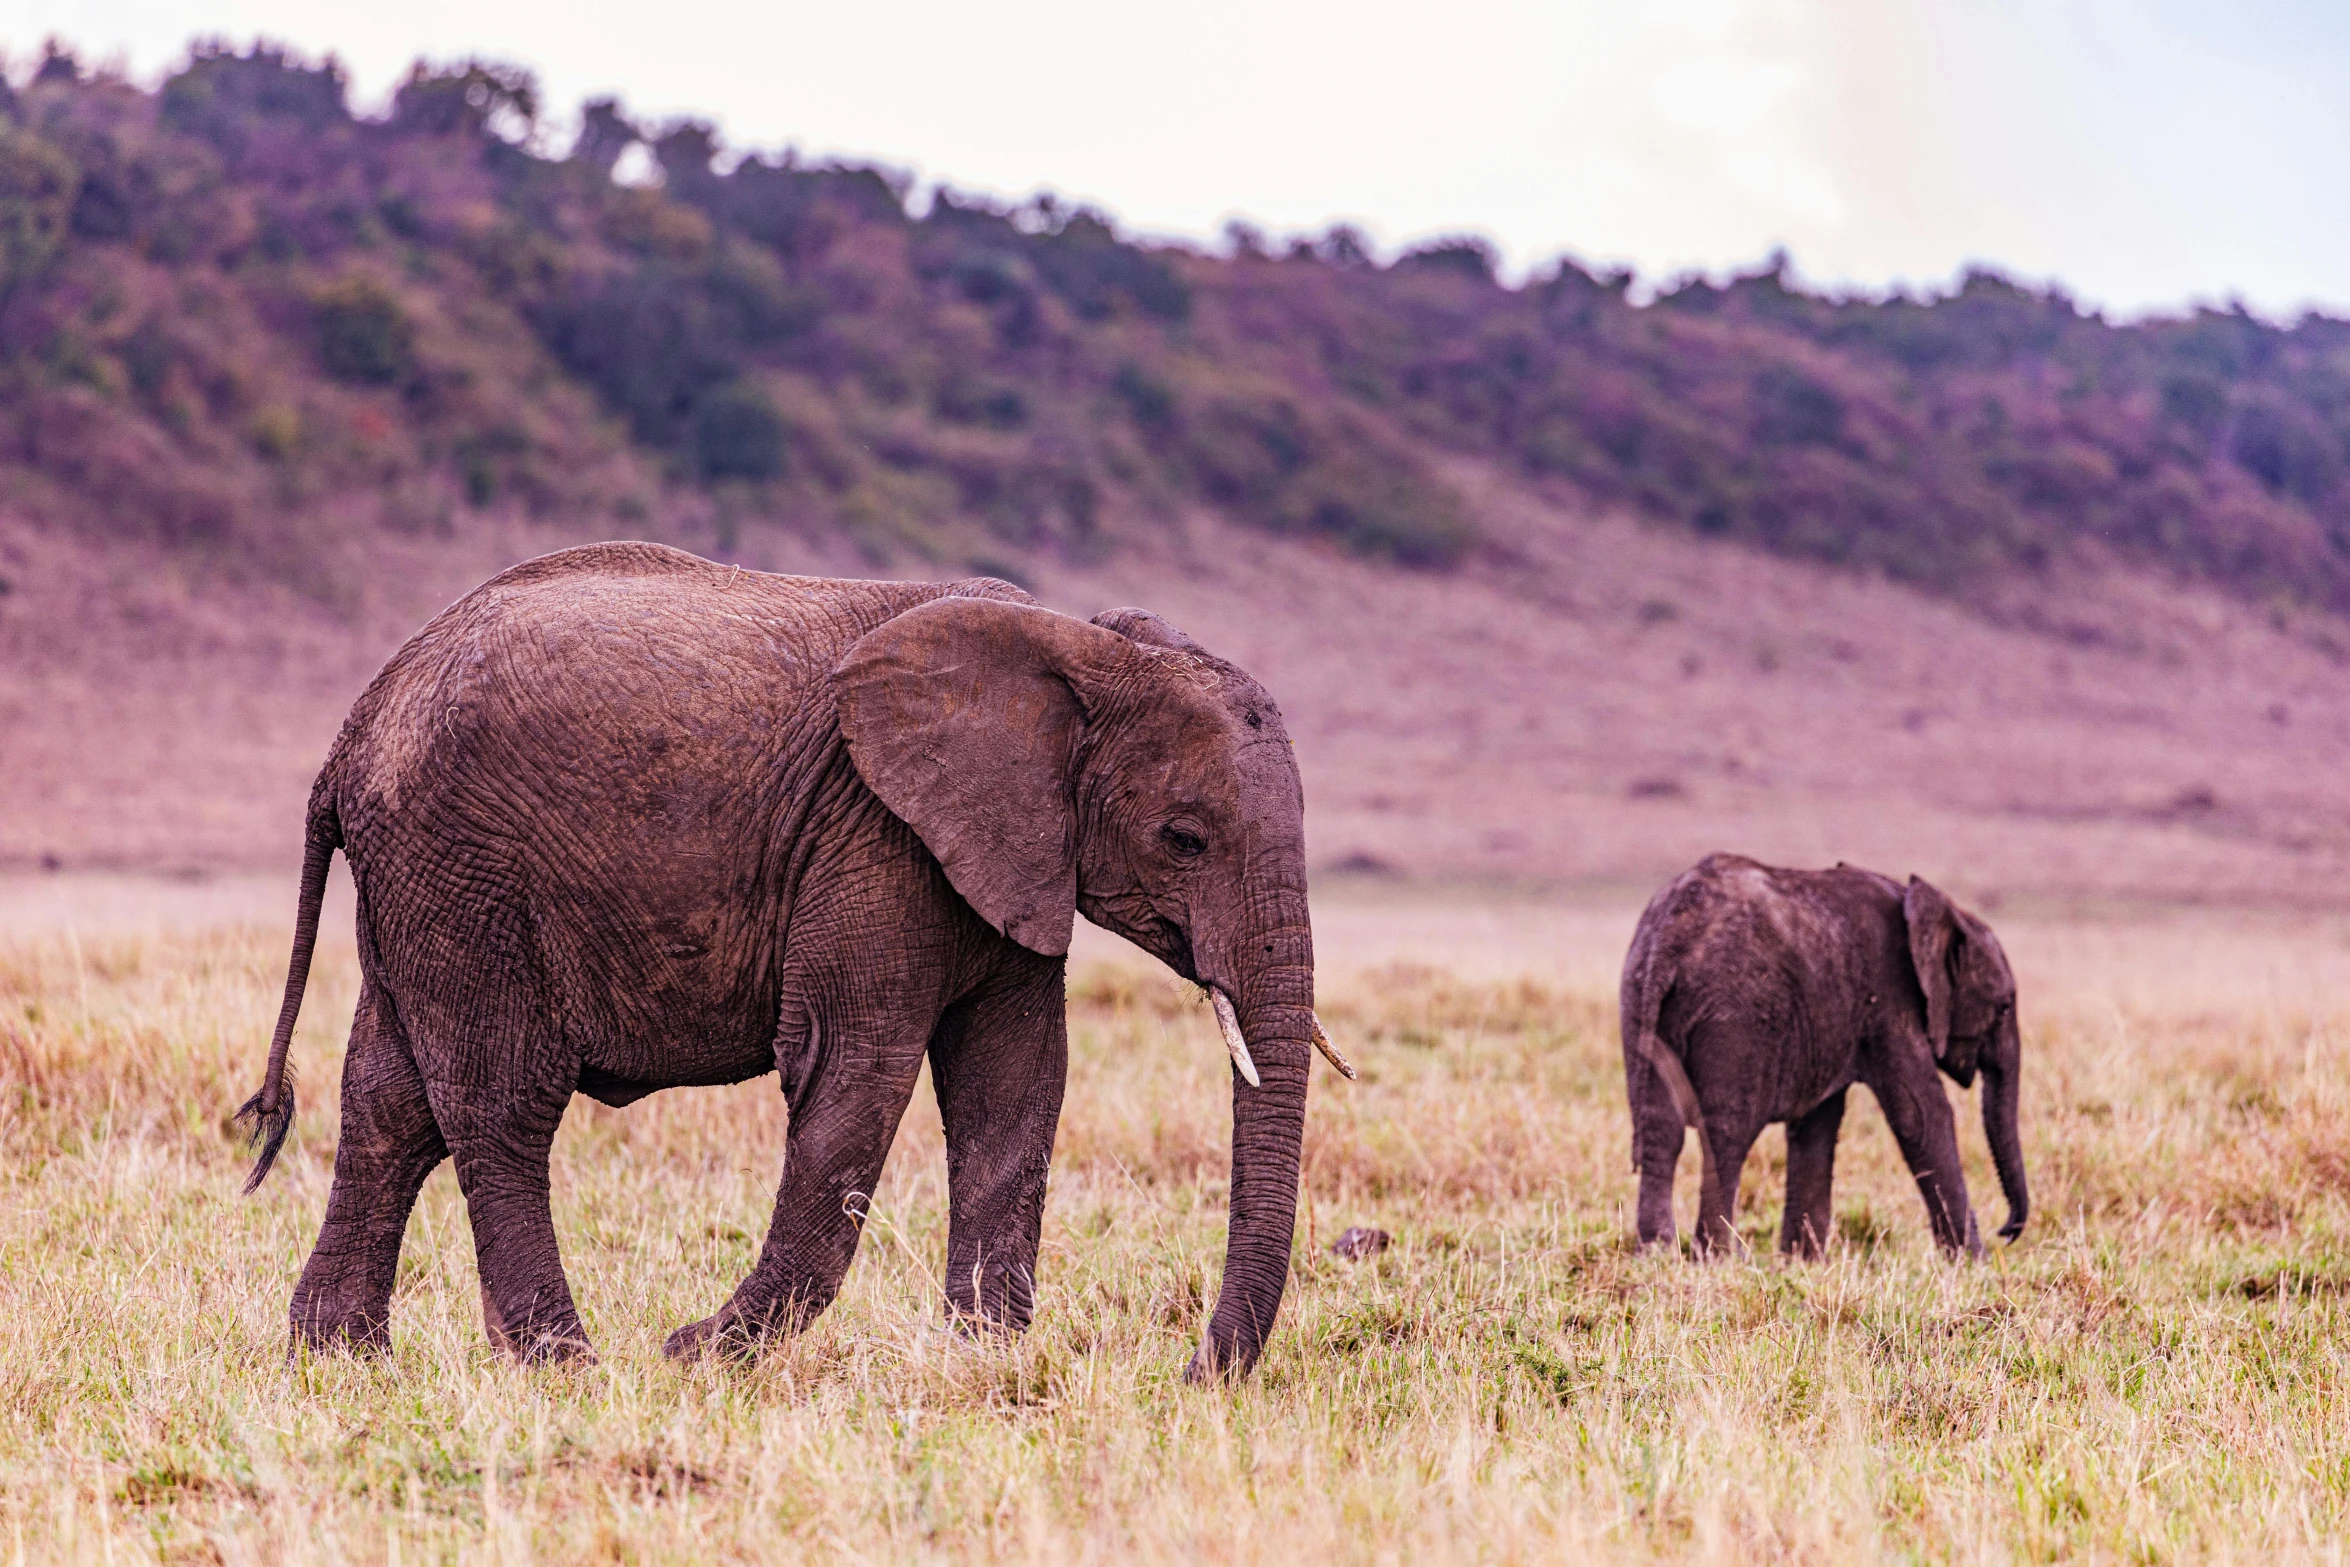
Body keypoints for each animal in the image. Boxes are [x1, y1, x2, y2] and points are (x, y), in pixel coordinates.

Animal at [240, 545, 1353, 1381]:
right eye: (1184, 838)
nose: (1193, 1371)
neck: (1077, 648)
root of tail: (353, 730)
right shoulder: (876, 836)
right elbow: (855, 1071)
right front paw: (698, 1356)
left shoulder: (1004, 856)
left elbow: (1015, 1081)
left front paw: (981, 1360)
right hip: (465, 869)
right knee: (499, 1101)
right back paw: (565, 1365)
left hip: (422, 880)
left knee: (389, 1101)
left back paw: (339, 1359)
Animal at [1626, 850, 2030, 1259]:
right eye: (2004, 1008)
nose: (2006, 1231)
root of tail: (1671, 933)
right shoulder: (1891, 1002)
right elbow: (1921, 1117)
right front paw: (1976, 1263)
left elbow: (1818, 1125)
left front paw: (1801, 1262)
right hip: (1732, 1013)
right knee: (1726, 1133)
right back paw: (1717, 1259)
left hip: (1641, 996)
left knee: (1661, 1126)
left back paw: (1656, 1252)